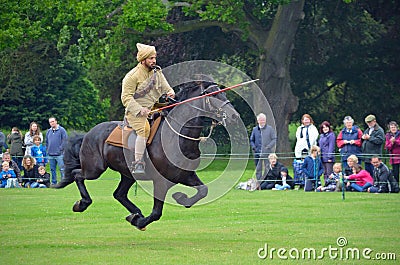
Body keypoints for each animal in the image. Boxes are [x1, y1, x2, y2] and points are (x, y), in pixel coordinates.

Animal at [54, 81, 239, 230]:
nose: (234, 116)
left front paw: (181, 198)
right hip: (94, 169)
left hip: (127, 174)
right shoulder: (161, 182)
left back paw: (135, 213)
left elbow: (203, 191)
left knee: (118, 194)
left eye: (223, 93)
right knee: (77, 175)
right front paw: (140, 222)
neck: (178, 138)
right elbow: (157, 213)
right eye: (213, 95)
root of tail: (88, 134)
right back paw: (82, 204)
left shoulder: (185, 175)